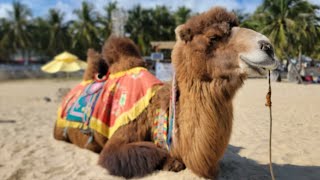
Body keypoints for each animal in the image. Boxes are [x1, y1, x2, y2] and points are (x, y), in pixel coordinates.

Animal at [52, 6, 278, 179]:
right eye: (213, 37)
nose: (268, 47)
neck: (158, 111)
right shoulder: (118, 140)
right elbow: (154, 154)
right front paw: (172, 161)